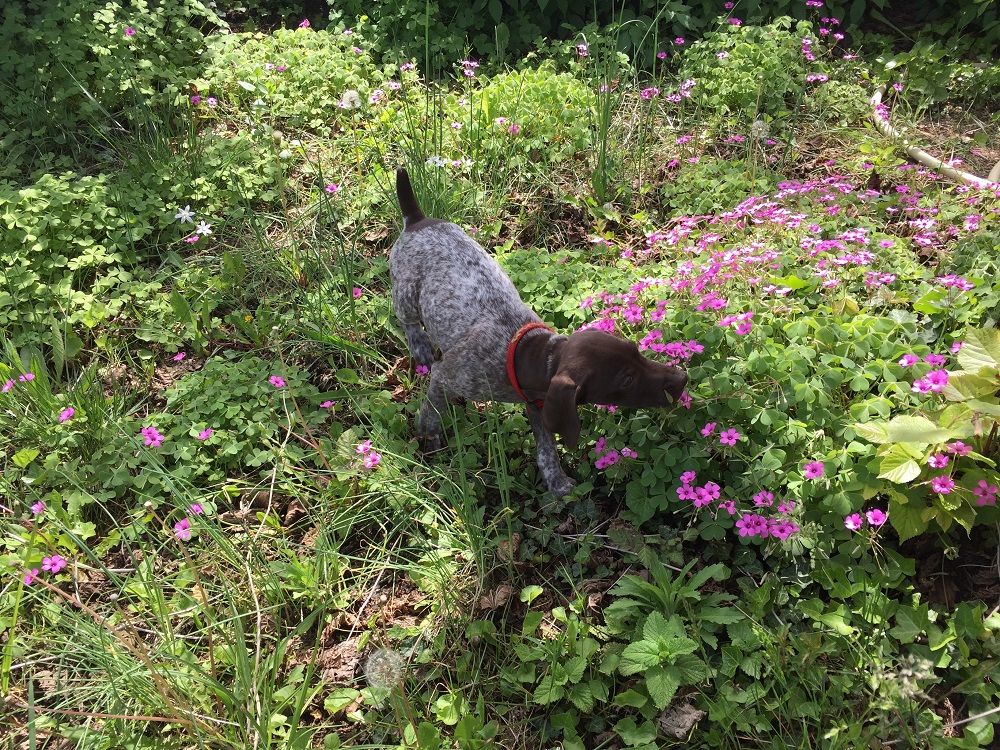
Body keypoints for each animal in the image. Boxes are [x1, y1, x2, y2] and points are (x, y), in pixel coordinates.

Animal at [390, 172, 688, 500]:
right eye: (626, 380)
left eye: (635, 349)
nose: (682, 379)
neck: (524, 349)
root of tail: (418, 220)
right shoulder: (448, 376)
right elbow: (432, 410)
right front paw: (428, 436)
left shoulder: (540, 403)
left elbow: (547, 449)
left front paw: (555, 480)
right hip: (405, 292)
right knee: (408, 320)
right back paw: (420, 346)